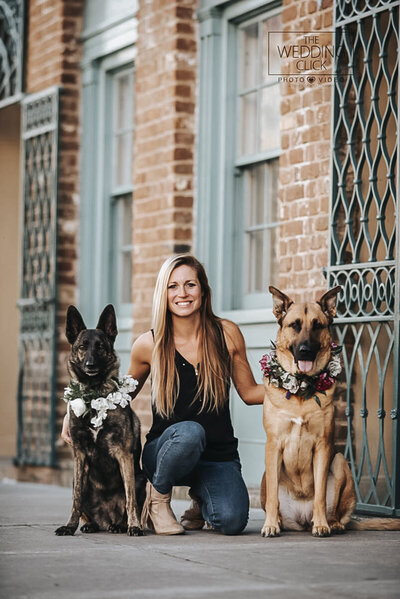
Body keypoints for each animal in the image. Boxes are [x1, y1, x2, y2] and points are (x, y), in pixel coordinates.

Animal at [54, 308, 145, 536]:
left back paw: (121, 525)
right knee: (84, 507)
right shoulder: (79, 454)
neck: (94, 395)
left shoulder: (123, 454)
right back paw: (90, 524)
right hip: (75, 479)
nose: (90, 365)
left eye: (100, 347)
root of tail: (106, 518)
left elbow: (130, 498)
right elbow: (76, 499)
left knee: (128, 503)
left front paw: (134, 526)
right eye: (82, 347)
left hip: (141, 479)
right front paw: (70, 526)